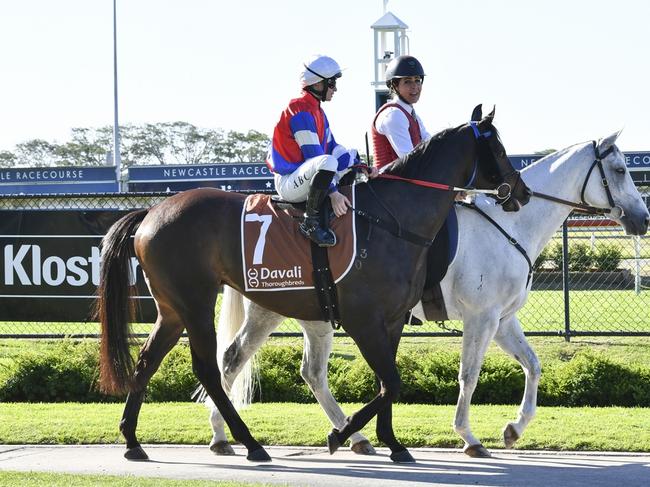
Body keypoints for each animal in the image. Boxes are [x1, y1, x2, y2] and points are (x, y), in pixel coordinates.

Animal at [97, 105, 532, 464]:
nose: (521, 192)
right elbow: (395, 382)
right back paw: (249, 442)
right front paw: (344, 435)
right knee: (210, 369)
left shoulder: (394, 321)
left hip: (175, 309)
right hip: (196, 304)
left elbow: (389, 383)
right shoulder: (368, 321)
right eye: (498, 148)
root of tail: (153, 211)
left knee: (150, 360)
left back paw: (133, 440)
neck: (392, 219)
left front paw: (391, 443)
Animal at [205, 132, 644, 458]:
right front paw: (468, 437)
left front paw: (514, 429)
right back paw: (233, 434)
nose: (643, 218)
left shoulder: (503, 320)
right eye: (621, 169)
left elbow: (533, 366)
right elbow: (469, 375)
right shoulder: (481, 318)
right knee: (251, 363)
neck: (509, 226)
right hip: (292, 313)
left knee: (288, 368)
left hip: (302, 315)